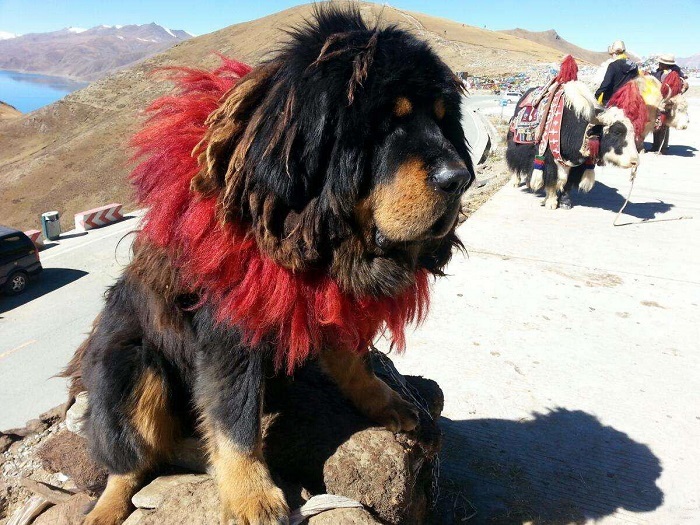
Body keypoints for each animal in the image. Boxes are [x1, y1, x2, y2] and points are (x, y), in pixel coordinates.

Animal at [65, 6, 474, 520]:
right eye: (387, 125)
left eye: (443, 122)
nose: (459, 178)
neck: (309, 227)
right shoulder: (232, 327)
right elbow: (233, 416)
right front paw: (251, 494)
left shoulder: (327, 297)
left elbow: (353, 361)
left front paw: (385, 401)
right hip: (131, 366)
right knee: (130, 459)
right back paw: (119, 499)